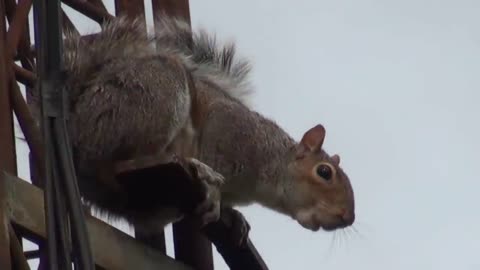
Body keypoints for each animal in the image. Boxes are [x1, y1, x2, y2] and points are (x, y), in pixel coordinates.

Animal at [31, 14, 354, 243]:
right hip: (157, 98)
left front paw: (235, 217)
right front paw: (215, 194)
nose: (347, 217)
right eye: (324, 172)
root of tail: (77, 127)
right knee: (120, 162)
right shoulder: (228, 133)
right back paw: (196, 168)